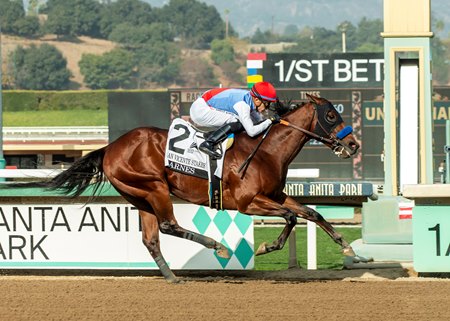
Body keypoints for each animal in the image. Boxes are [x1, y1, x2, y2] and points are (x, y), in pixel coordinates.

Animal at [7, 94, 368, 282]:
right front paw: (266, 247)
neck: (265, 150)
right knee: (168, 225)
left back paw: (171, 275)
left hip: (140, 197)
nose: (353, 144)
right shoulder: (249, 202)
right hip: (154, 186)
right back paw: (218, 247)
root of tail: (110, 147)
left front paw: (350, 250)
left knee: (151, 238)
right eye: (331, 115)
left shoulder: (276, 195)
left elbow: (311, 213)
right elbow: (292, 219)